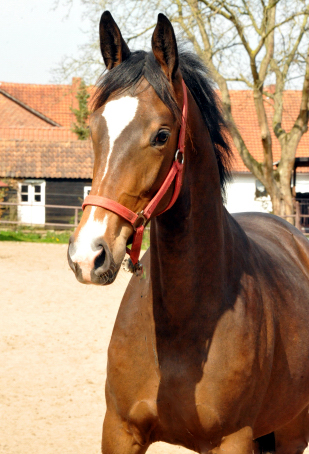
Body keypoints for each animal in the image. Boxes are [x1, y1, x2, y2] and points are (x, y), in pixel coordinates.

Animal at [67, 10, 308, 454]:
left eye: (161, 135)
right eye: (94, 129)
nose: (88, 256)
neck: (181, 322)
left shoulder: (233, 439)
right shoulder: (120, 430)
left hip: (292, 428)